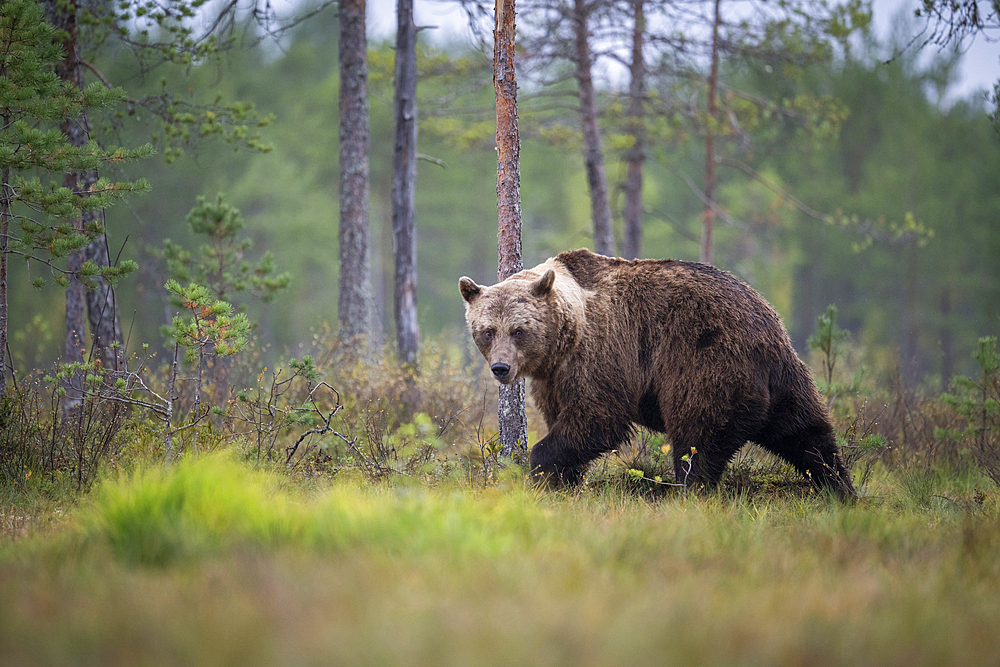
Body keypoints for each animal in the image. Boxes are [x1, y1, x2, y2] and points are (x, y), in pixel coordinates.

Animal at [460, 248, 860, 498]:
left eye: (518, 329)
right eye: (487, 330)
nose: (501, 368)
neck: (566, 335)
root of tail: (766, 323)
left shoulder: (600, 354)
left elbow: (597, 419)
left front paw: (540, 468)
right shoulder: (554, 377)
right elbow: (564, 419)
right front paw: (564, 480)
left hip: (705, 362)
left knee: (697, 438)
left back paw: (688, 492)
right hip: (786, 379)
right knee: (807, 434)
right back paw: (840, 489)